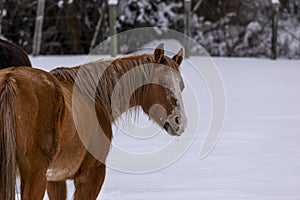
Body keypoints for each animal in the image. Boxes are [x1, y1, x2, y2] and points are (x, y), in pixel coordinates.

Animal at [0, 43, 186, 198]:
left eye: (182, 86)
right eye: (162, 81)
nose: (180, 121)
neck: (94, 96)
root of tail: (10, 80)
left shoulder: (55, 179)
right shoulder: (91, 174)